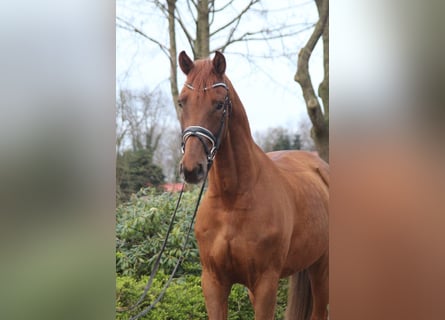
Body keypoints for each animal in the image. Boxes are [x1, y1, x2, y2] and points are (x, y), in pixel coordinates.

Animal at [176, 51, 326, 318]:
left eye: (219, 104)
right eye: (182, 102)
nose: (192, 169)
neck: (232, 200)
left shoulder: (265, 283)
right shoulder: (214, 282)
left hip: (322, 268)